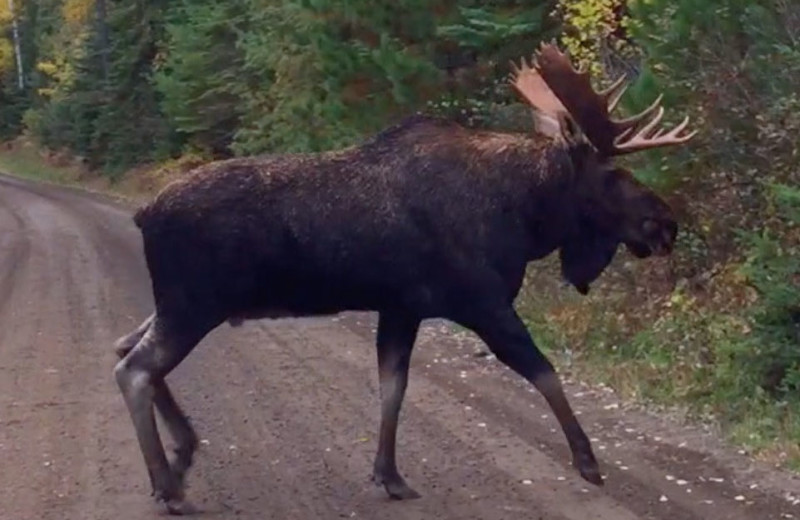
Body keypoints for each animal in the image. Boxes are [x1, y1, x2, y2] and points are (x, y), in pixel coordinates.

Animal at [115, 42, 696, 512]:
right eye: (613, 174)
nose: (666, 223)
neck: (524, 217)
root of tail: (142, 214)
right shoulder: (482, 302)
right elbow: (544, 372)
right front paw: (588, 461)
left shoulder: (401, 307)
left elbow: (392, 387)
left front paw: (389, 475)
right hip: (193, 304)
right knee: (133, 368)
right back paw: (167, 484)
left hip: (180, 304)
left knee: (124, 347)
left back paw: (184, 454)